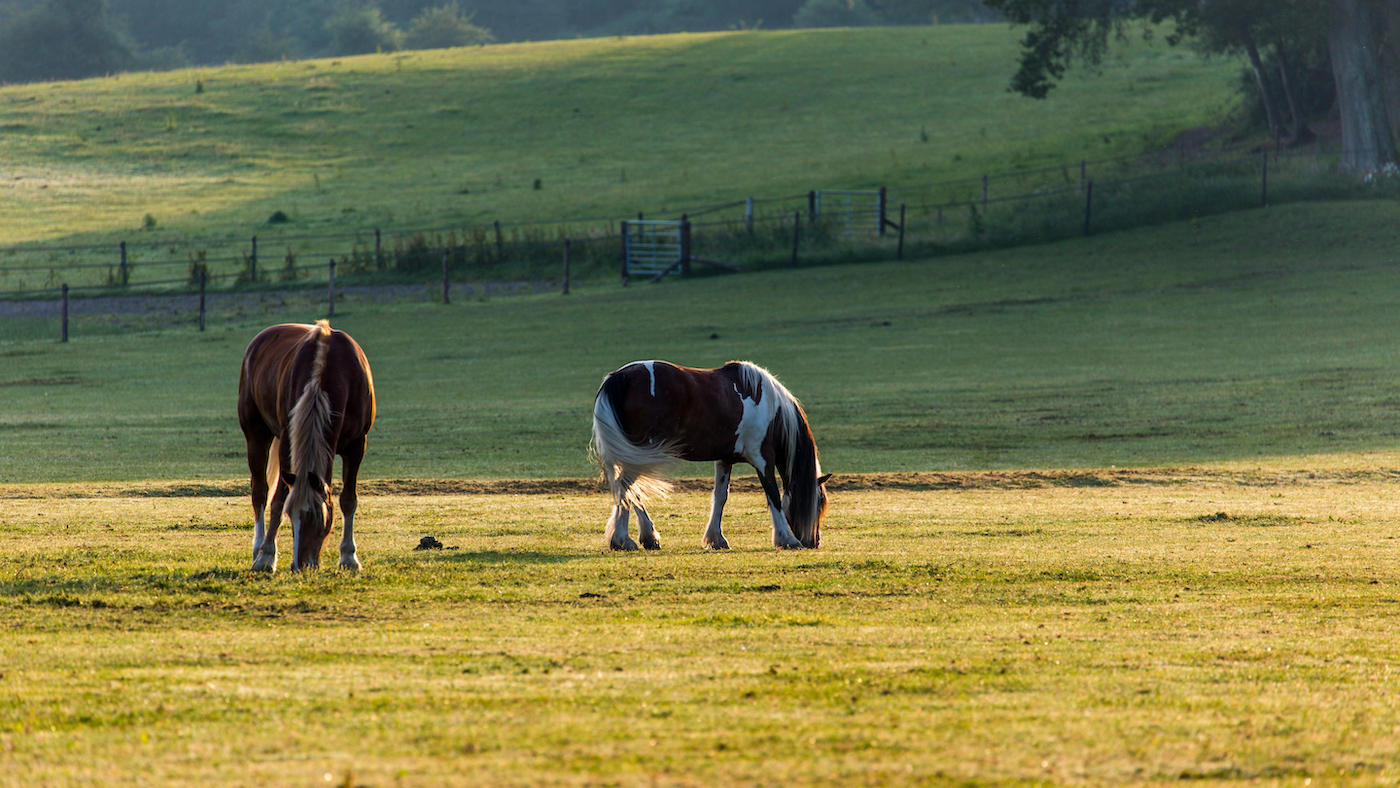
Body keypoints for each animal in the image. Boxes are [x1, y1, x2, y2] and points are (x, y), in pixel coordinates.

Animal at [237, 320, 376, 572]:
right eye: (292, 516)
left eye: (317, 518)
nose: (300, 565)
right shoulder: (287, 443)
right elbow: (277, 501)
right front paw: (266, 556)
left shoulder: (357, 445)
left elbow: (348, 500)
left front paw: (349, 557)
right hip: (256, 435)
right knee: (260, 492)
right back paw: (258, 549)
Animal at [590, 360, 830, 551]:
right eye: (819, 502)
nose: (814, 541)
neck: (771, 410)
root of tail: (620, 377)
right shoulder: (763, 460)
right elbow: (773, 496)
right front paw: (787, 539)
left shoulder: (725, 459)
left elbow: (720, 496)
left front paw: (716, 539)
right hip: (639, 455)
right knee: (626, 488)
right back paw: (624, 540)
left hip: (638, 456)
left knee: (630, 491)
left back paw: (646, 538)